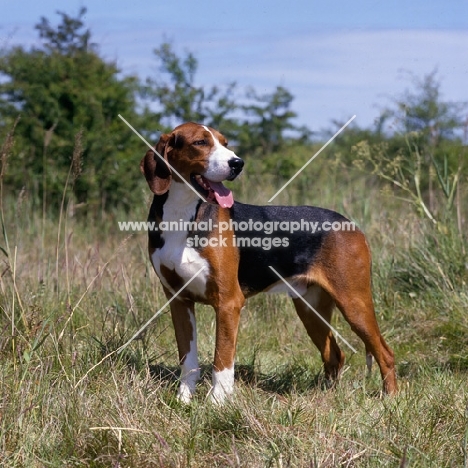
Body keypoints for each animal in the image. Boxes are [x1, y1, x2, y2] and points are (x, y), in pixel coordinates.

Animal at [141, 120, 396, 402]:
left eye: (225, 143)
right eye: (200, 142)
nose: (237, 163)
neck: (182, 213)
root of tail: (351, 225)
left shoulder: (228, 303)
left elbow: (222, 361)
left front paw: (217, 403)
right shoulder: (179, 301)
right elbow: (188, 360)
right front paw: (183, 400)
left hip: (354, 303)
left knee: (385, 354)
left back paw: (391, 400)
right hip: (310, 309)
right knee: (334, 355)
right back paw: (326, 396)